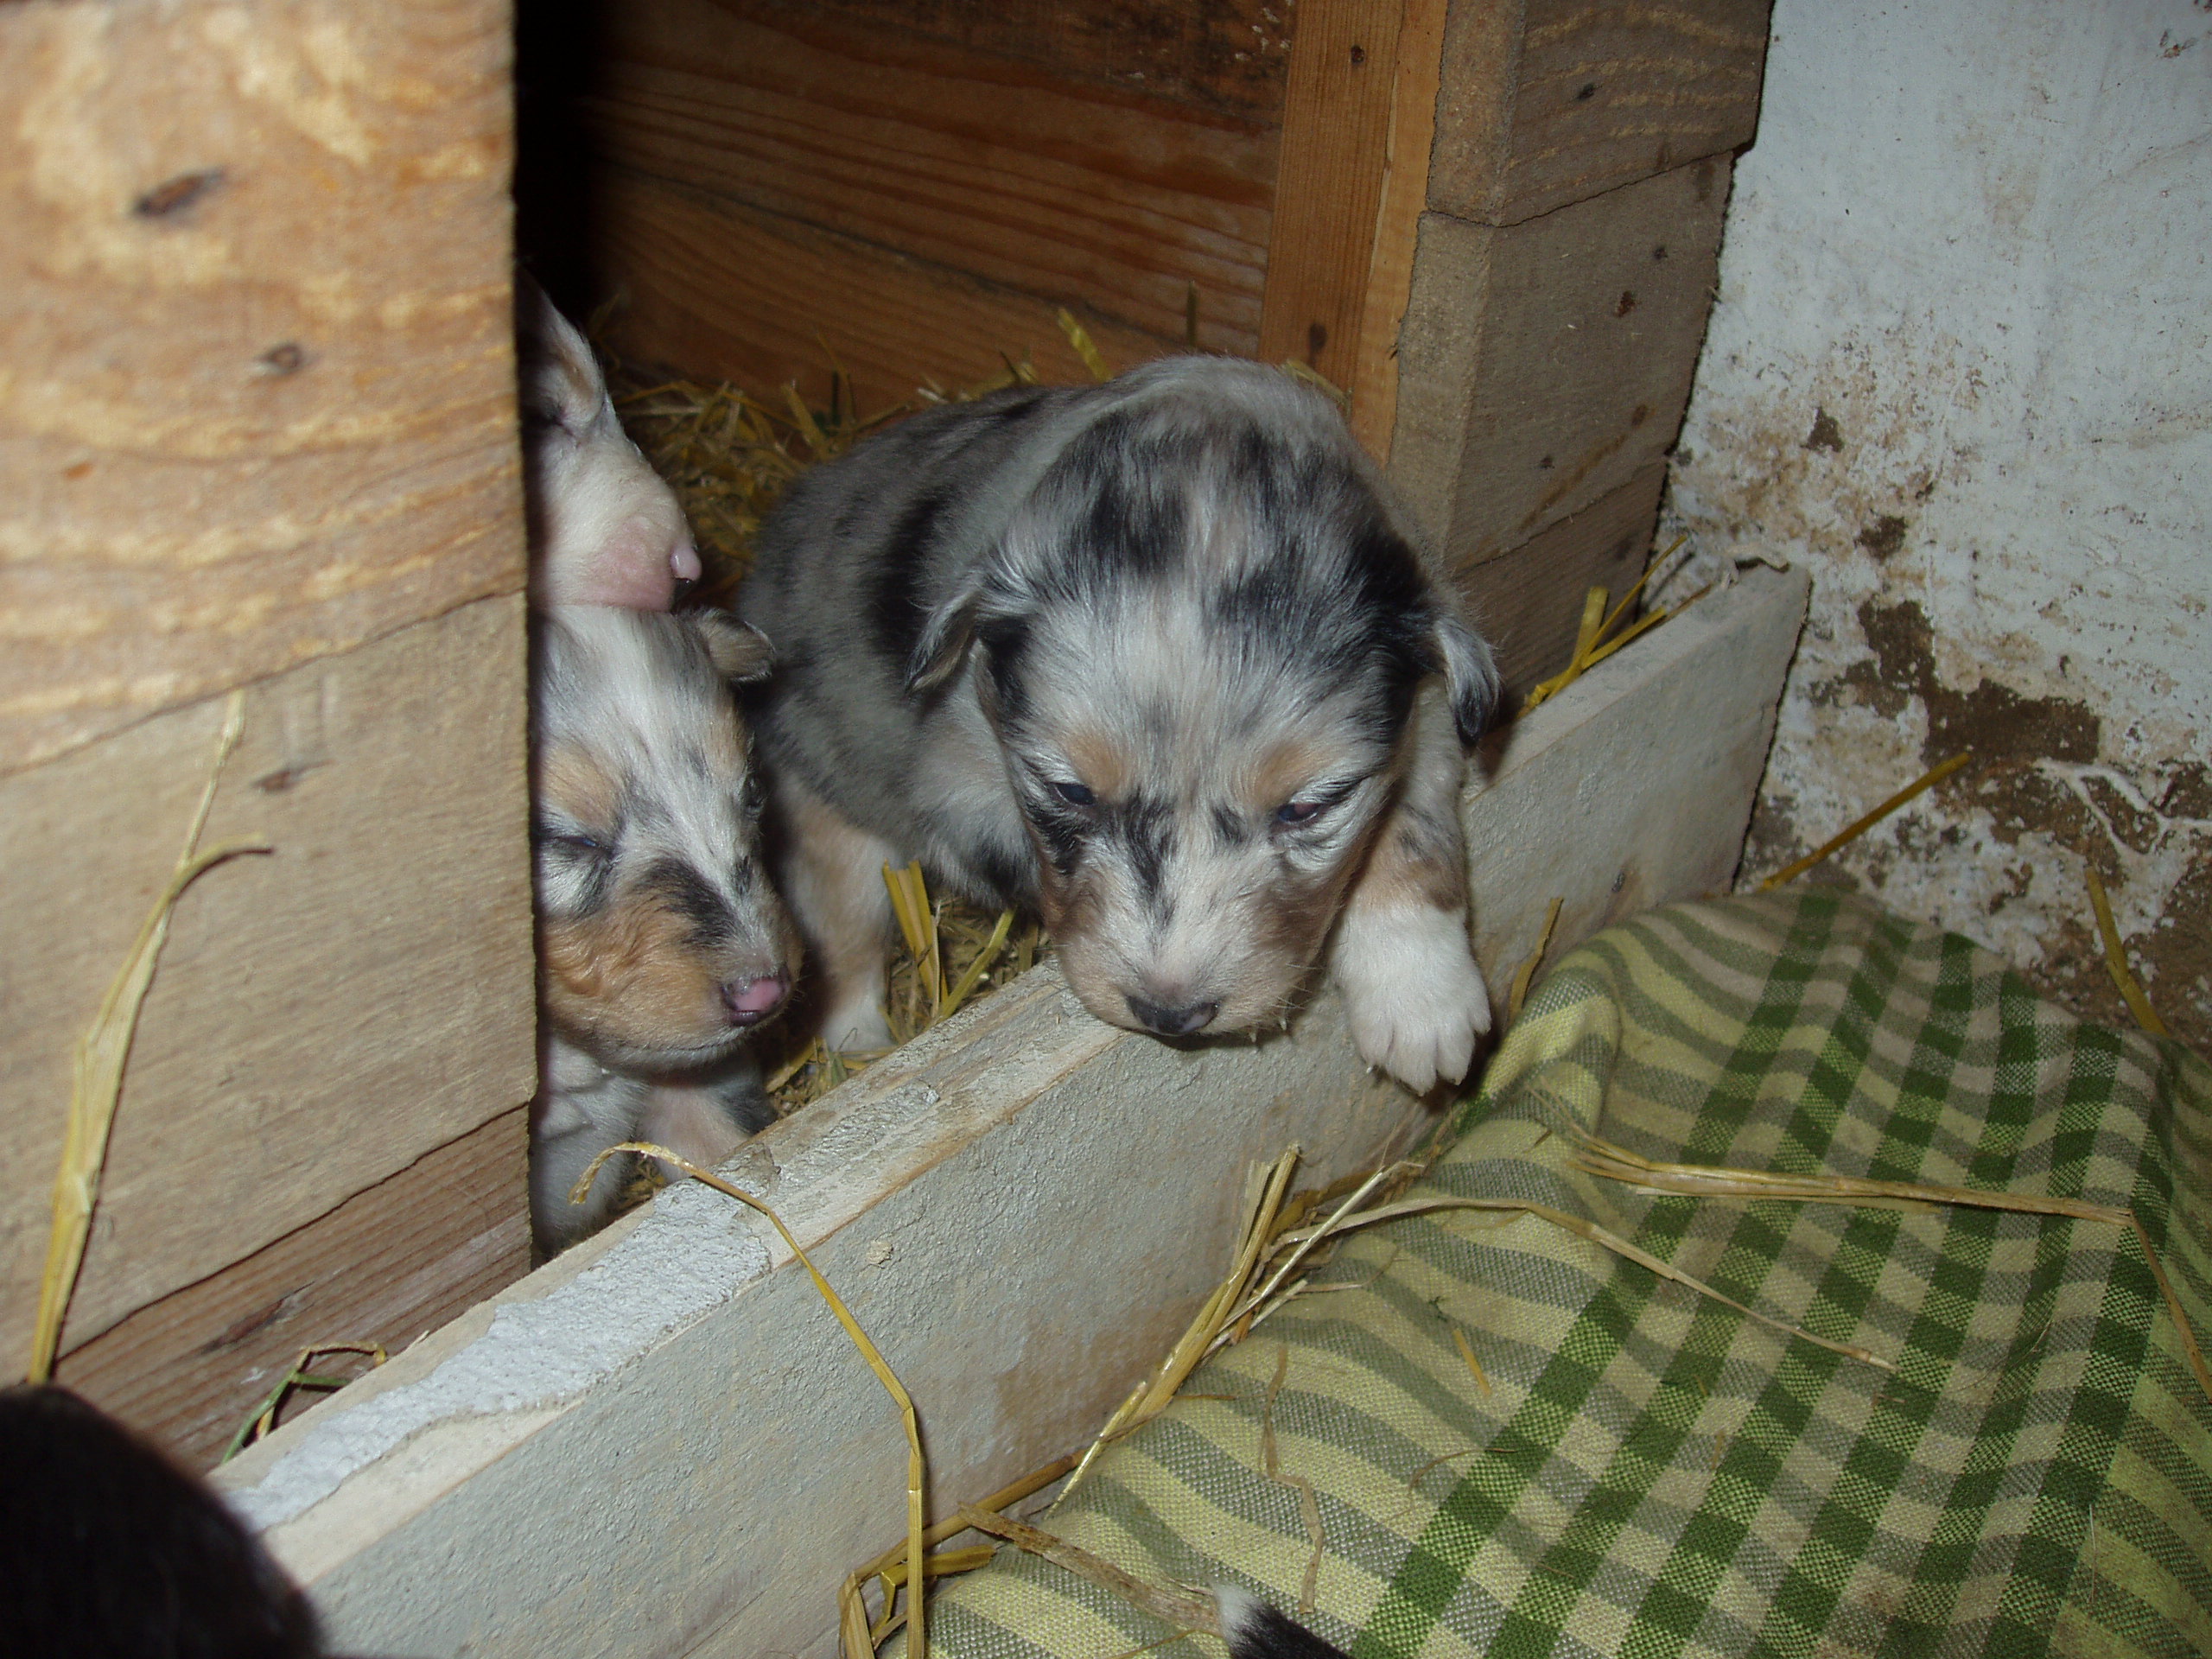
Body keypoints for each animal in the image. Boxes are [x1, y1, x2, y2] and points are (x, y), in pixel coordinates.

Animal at [743, 358, 1503, 1096]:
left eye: (1306, 808)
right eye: (1072, 793)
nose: (1170, 1012)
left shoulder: (1430, 710)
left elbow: (1411, 833)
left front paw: (1420, 1002)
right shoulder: (954, 782)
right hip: (824, 810)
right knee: (846, 940)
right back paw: (857, 1049)